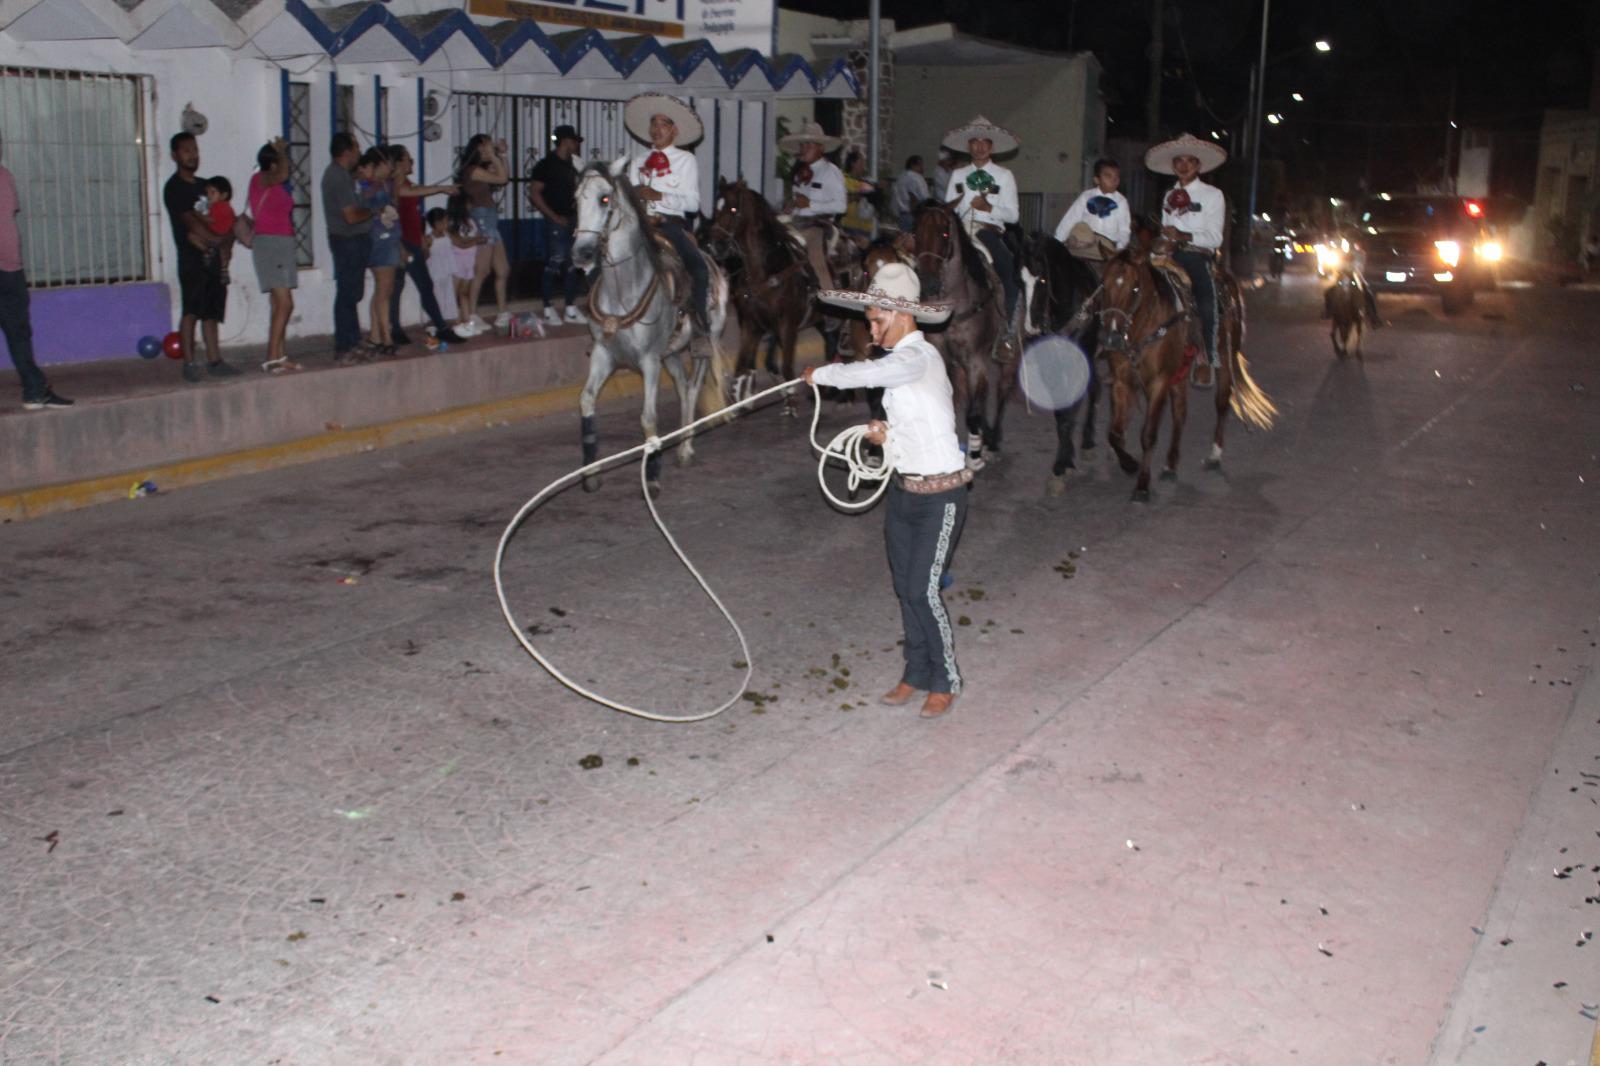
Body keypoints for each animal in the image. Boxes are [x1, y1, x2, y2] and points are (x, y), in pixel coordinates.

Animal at [569, 164, 732, 496]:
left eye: (605, 199)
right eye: (576, 200)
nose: (582, 253)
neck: (623, 290)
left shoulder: (649, 360)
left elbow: (648, 418)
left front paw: (653, 475)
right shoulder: (604, 355)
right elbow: (587, 400)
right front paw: (590, 472)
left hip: (703, 343)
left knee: (692, 388)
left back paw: (685, 449)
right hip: (670, 353)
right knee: (682, 386)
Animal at [707, 176, 819, 408]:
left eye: (733, 209)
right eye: (715, 208)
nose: (715, 246)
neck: (767, 271)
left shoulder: (788, 323)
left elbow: (787, 368)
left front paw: (790, 401)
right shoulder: (752, 323)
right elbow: (742, 365)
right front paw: (741, 392)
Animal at [915, 201, 1011, 467]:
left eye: (944, 234)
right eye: (916, 235)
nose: (928, 284)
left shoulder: (975, 361)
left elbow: (973, 413)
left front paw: (975, 456)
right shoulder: (947, 359)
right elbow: (953, 402)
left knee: (1001, 391)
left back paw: (992, 442)